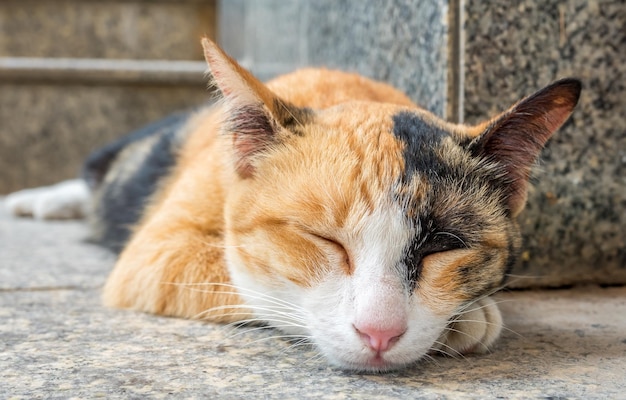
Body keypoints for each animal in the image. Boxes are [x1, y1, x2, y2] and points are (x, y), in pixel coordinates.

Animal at [6, 39, 580, 374]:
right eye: (322, 239)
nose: (379, 332)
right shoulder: (153, 253)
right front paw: (472, 318)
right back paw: (37, 200)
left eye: (443, 245)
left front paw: (467, 314)